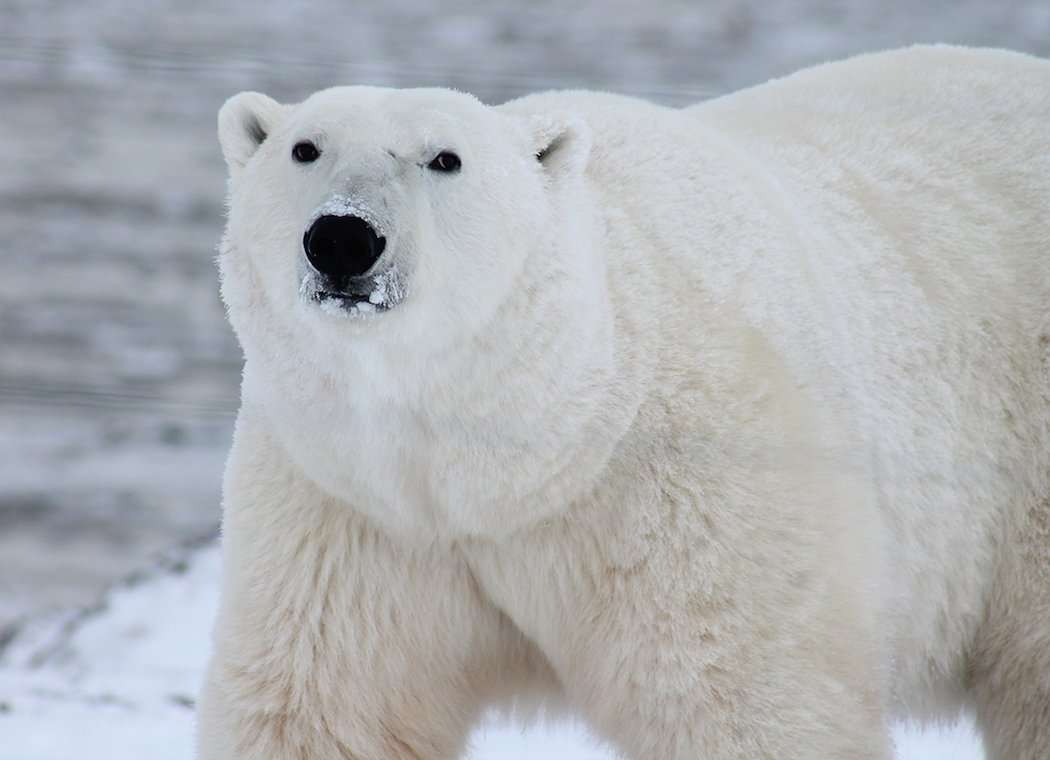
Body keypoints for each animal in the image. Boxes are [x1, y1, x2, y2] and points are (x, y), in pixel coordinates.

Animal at [198, 45, 1050, 760]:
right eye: (305, 148)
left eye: (445, 159)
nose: (343, 239)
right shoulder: (352, 507)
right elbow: (326, 706)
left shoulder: (690, 489)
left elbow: (745, 700)